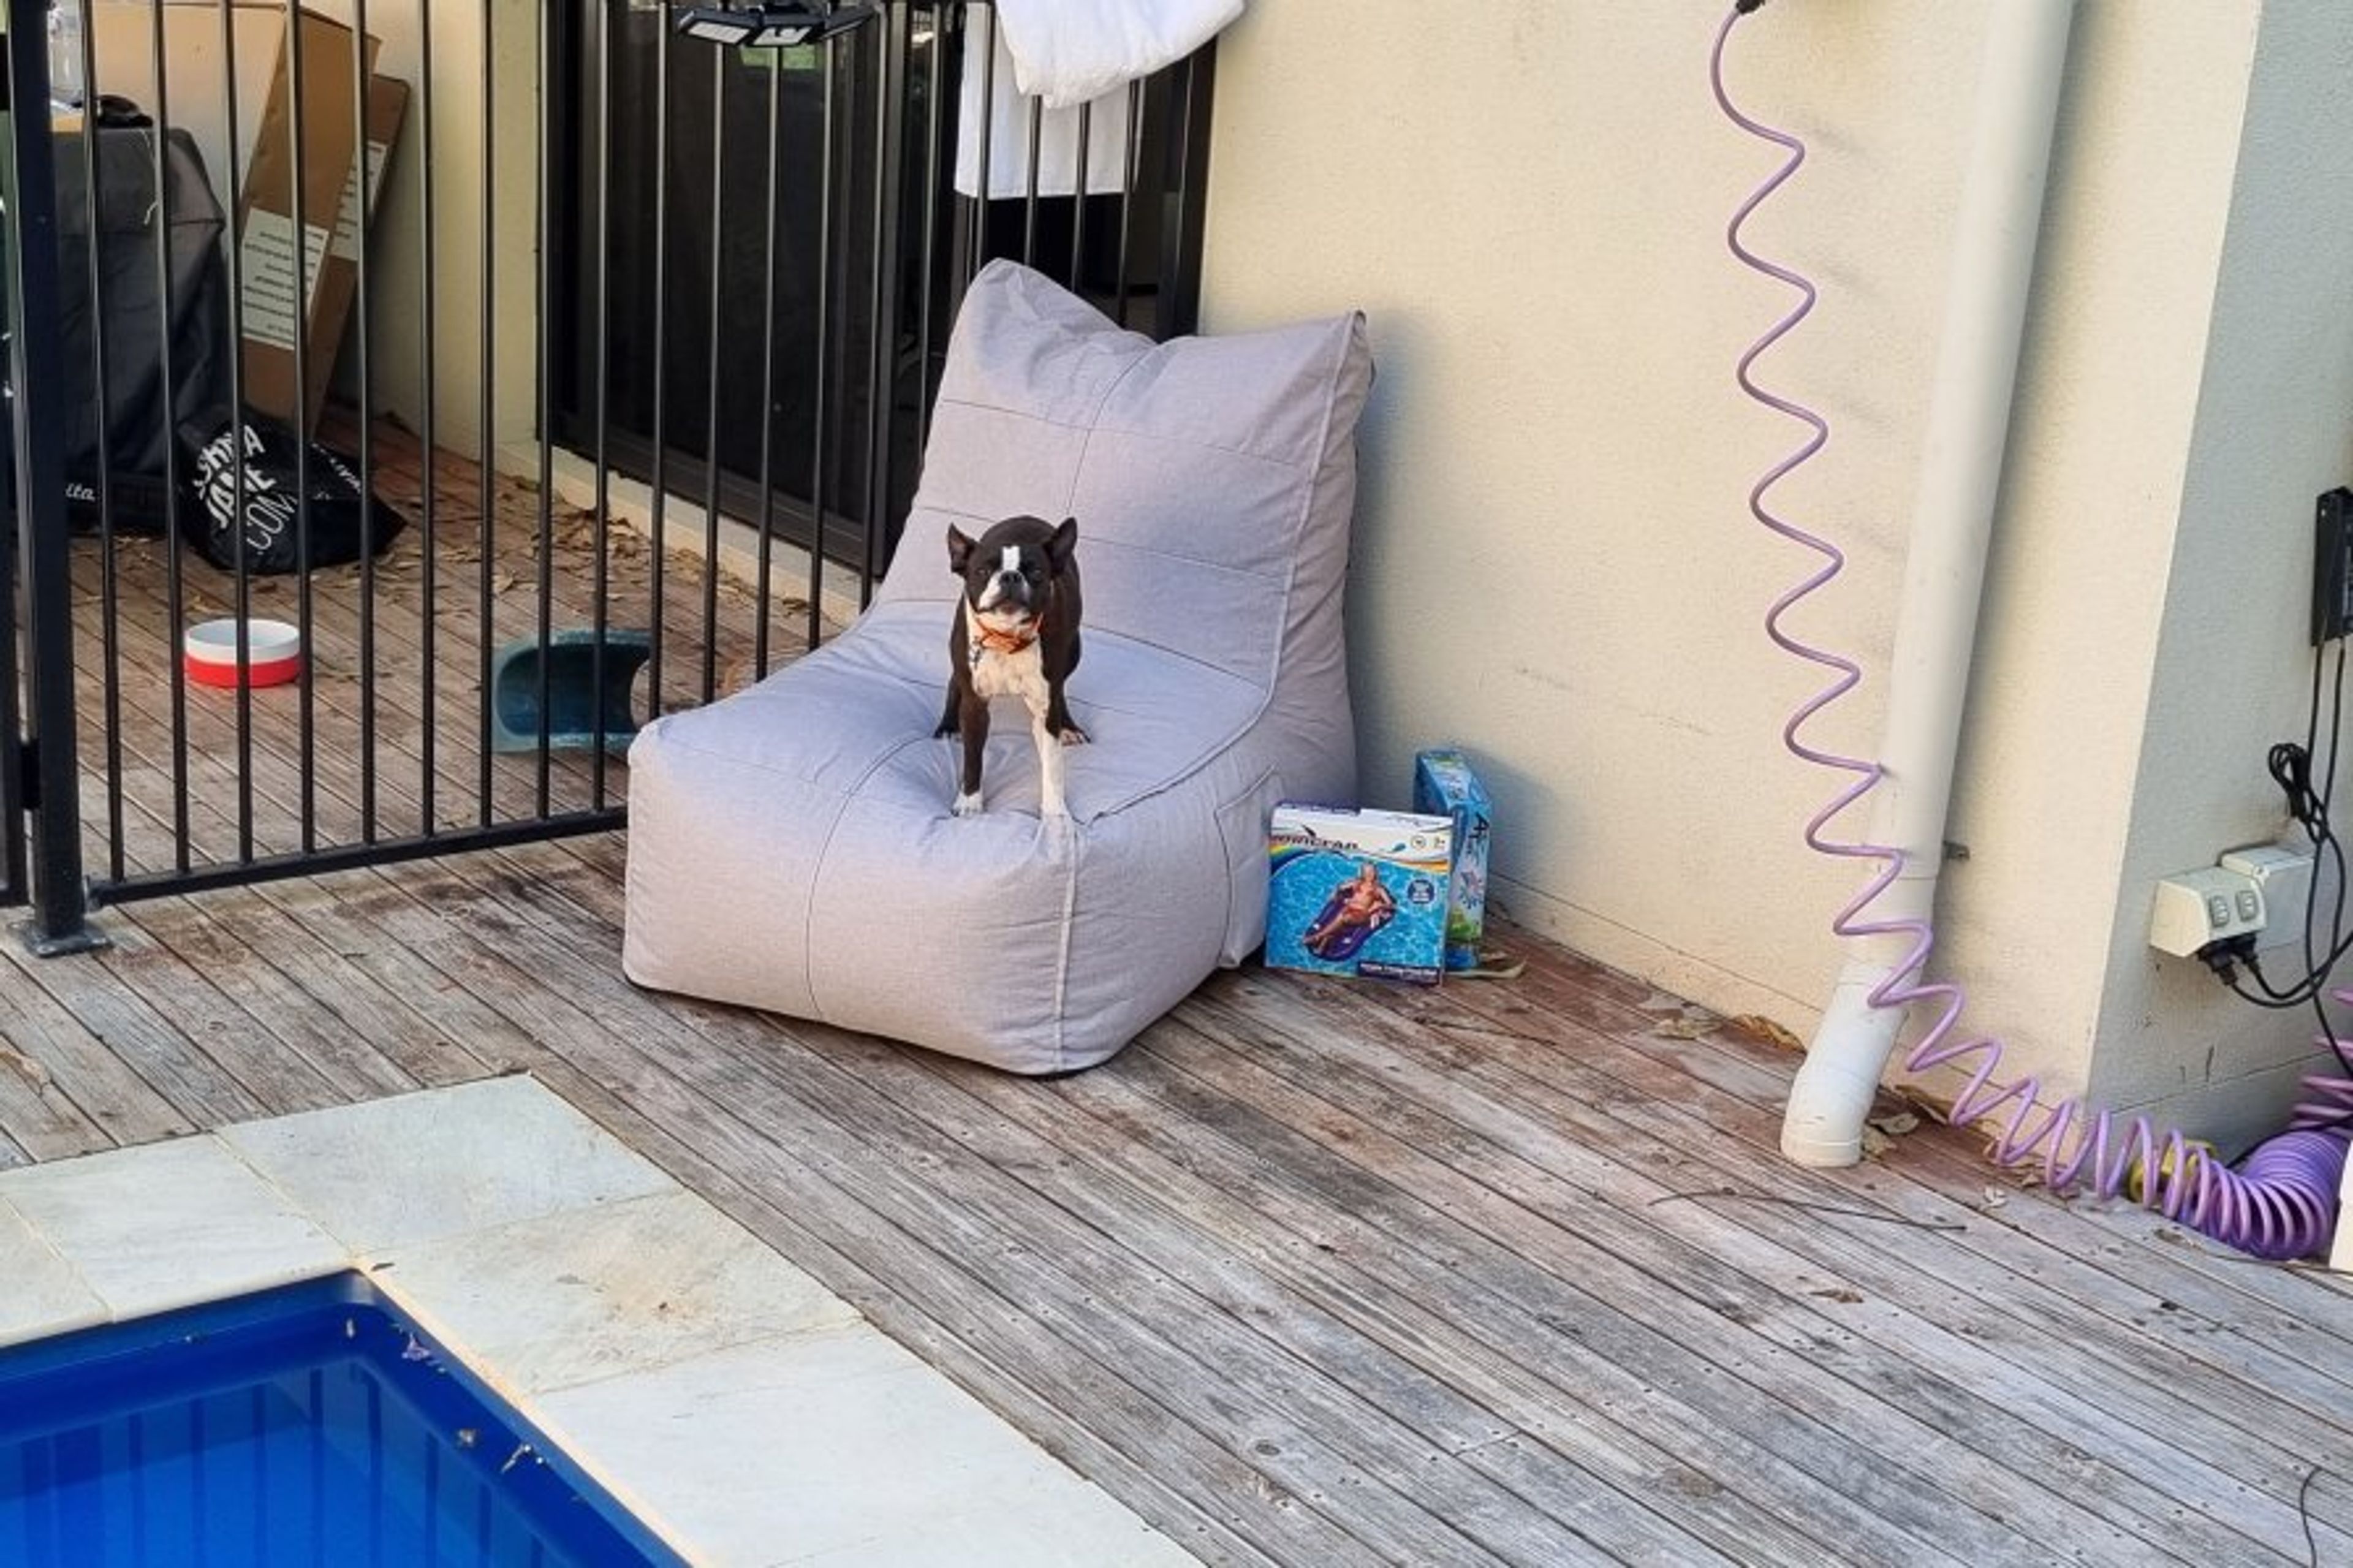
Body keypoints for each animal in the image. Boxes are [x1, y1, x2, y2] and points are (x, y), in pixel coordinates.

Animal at [936, 515, 1082, 819]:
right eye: (982, 571)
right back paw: (947, 725)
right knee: (955, 681)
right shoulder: (975, 704)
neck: (1007, 638)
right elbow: (973, 759)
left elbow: (1053, 766)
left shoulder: (1046, 707)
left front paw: (1055, 813)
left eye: (1036, 572)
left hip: (1074, 650)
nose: (1011, 576)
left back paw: (1069, 726)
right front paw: (970, 802)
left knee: (1061, 687)